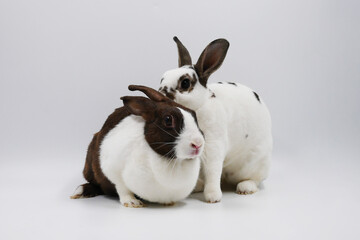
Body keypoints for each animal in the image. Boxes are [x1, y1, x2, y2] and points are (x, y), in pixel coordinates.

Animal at [70, 85, 205, 207]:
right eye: (168, 120)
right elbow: (122, 188)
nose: (198, 144)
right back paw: (80, 192)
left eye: (195, 116)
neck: (174, 161)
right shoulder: (112, 169)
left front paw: (170, 203)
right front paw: (132, 202)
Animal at [158, 37, 272, 202]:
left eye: (185, 83)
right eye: (163, 78)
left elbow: (213, 171)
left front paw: (213, 197)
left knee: (255, 179)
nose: (160, 94)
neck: (198, 107)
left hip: (256, 164)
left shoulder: (213, 145)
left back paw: (245, 188)